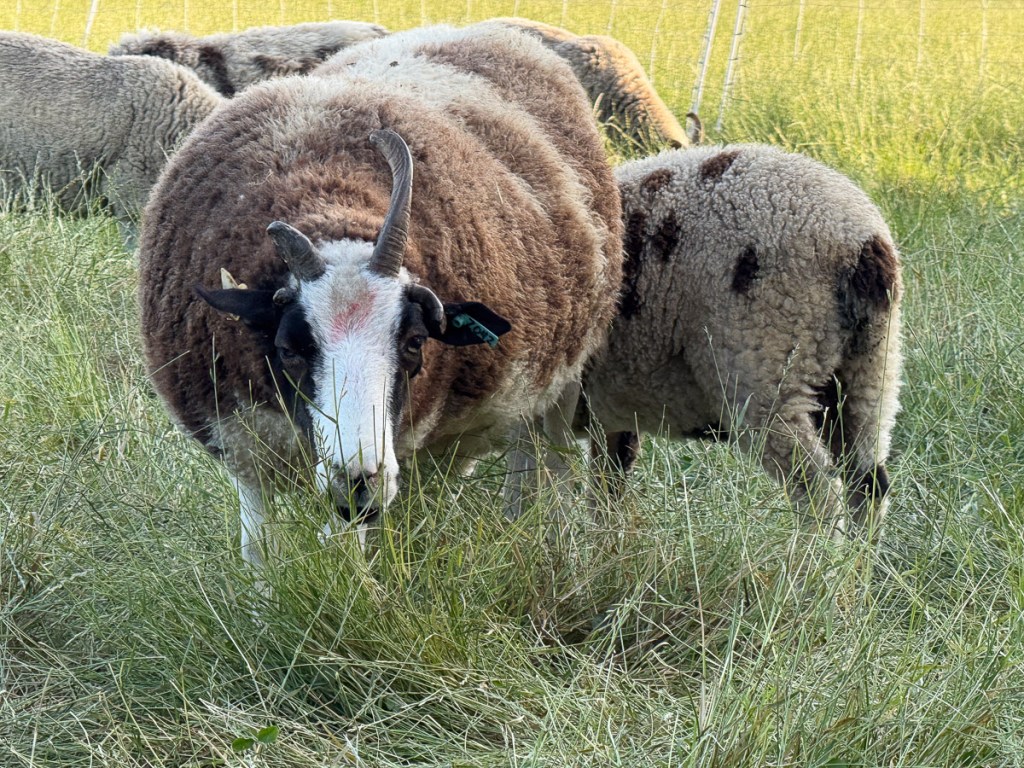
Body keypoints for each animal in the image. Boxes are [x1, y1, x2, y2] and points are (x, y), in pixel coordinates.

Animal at [138, 22, 623, 565]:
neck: (328, 199)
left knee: (544, 470)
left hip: (560, 384)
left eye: (413, 343)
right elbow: (260, 553)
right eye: (289, 349)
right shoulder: (243, 445)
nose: (359, 483)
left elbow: (343, 556)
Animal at [578, 145, 903, 535]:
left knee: (817, 489)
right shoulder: (609, 414)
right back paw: (857, 554)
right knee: (868, 482)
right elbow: (607, 485)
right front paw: (604, 541)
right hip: (870, 369)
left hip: (768, 368)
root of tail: (861, 240)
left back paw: (811, 552)